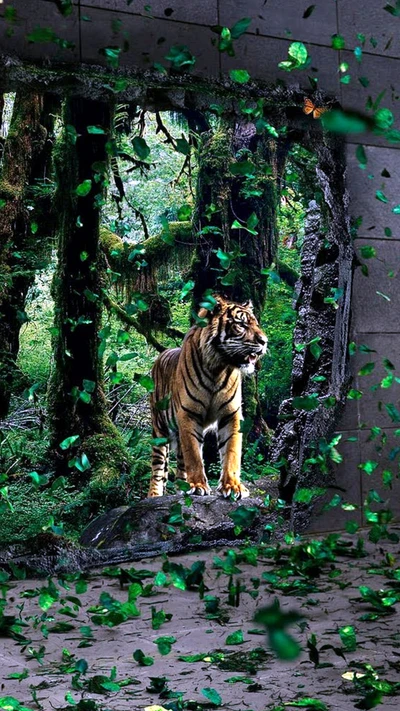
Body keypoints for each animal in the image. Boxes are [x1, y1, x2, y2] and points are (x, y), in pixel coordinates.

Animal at [148, 294, 268, 500]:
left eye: (256, 324)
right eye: (241, 324)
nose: (264, 341)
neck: (218, 368)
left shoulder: (231, 414)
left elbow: (231, 451)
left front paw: (233, 486)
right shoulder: (188, 414)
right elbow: (194, 455)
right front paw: (197, 485)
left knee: (180, 463)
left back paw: (181, 486)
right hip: (159, 429)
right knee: (158, 467)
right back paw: (155, 495)